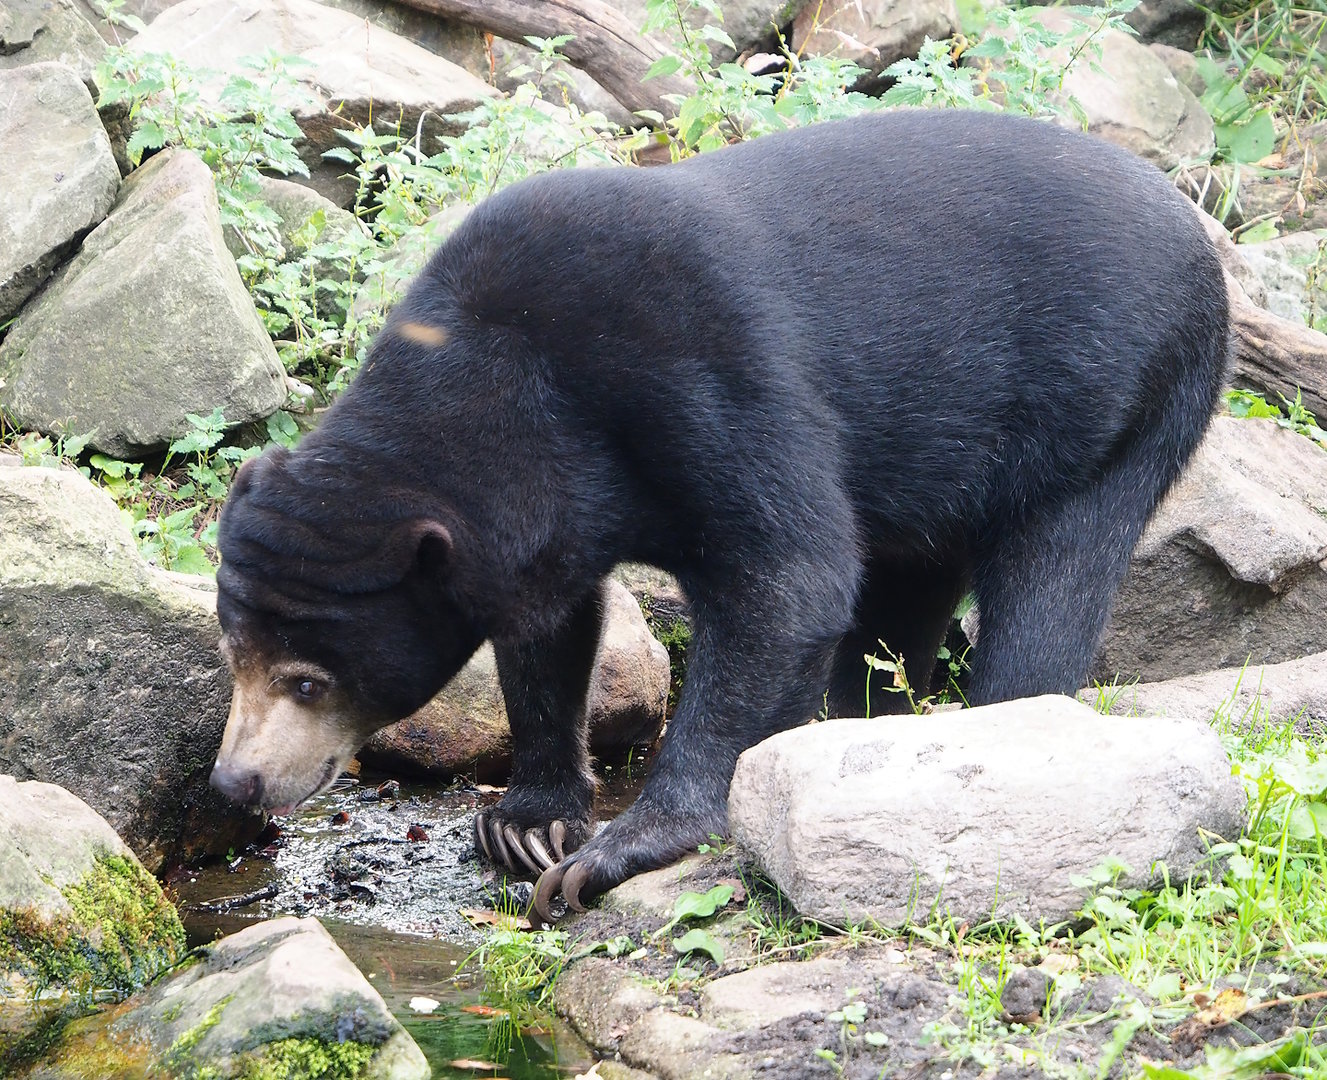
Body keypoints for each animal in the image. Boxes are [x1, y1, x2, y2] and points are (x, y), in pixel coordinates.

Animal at [210, 109, 1229, 921]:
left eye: (307, 681)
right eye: (232, 653)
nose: (236, 780)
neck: (505, 373)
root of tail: (1190, 222)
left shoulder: (700, 367)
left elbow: (788, 577)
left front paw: (608, 854)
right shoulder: (547, 511)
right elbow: (547, 629)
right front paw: (525, 826)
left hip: (1116, 398)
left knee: (1052, 575)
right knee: (905, 589)